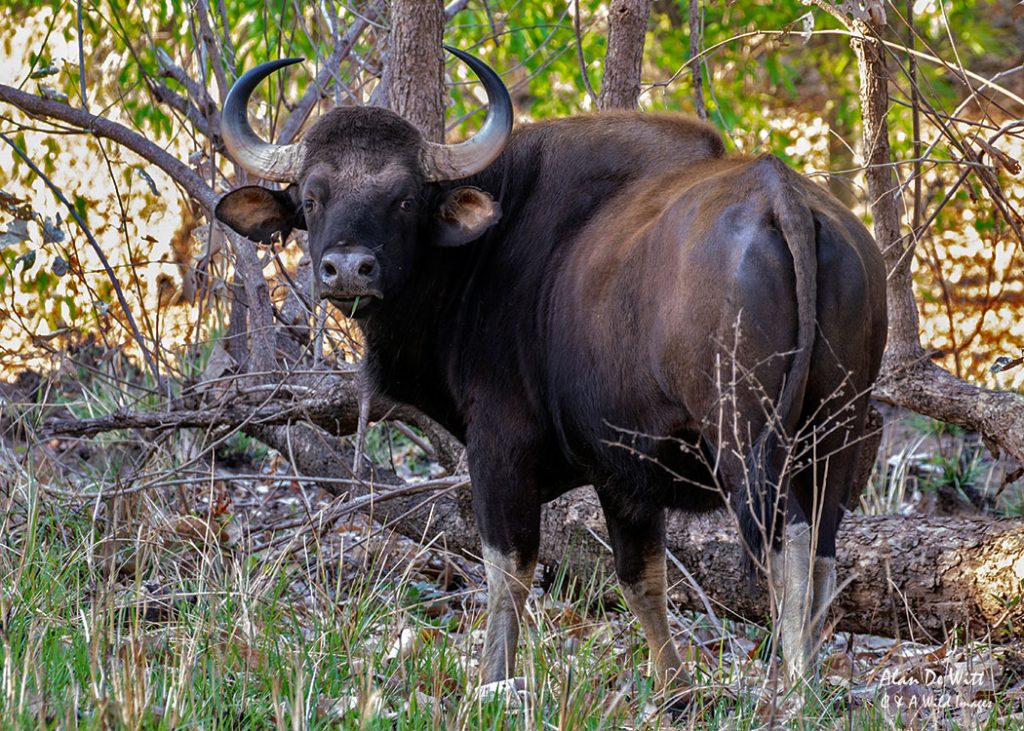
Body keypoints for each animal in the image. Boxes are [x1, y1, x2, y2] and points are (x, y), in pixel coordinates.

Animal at [215, 47, 887, 695]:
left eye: (403, 198)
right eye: (311, 198)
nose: (348, 270)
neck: (482, 249)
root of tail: (782, 197)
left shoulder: (499, 446)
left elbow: (507, 569)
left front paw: (493, 680)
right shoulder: (623, 473)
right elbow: (640, 577)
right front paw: (674, 688)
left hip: (745, 437)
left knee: (787, 540)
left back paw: (792, 687)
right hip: (837, 432)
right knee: (823, 550)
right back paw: (807, 681)